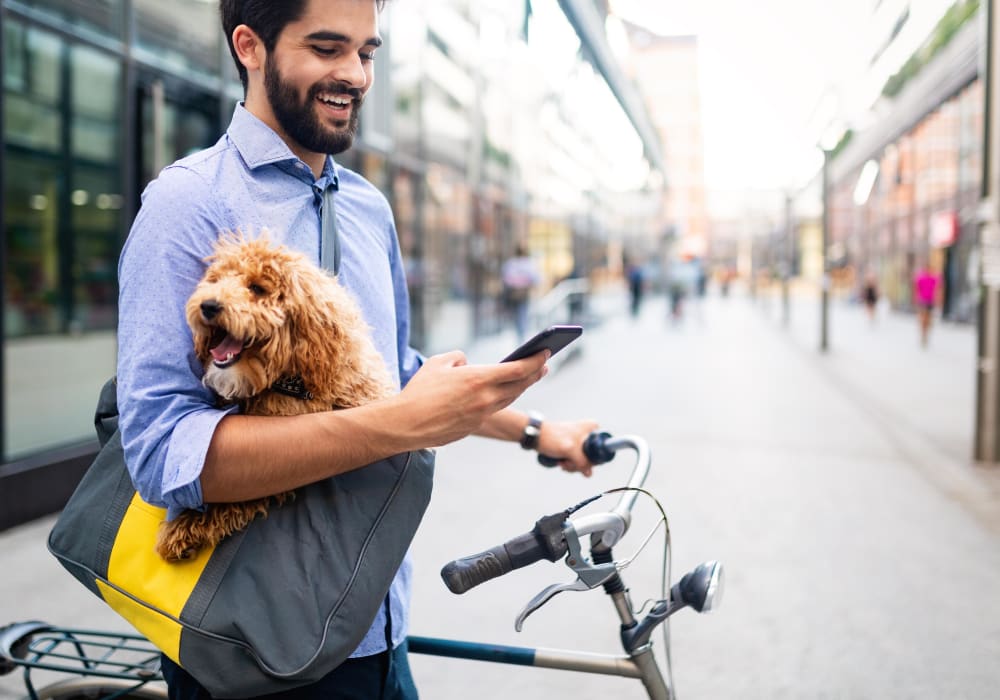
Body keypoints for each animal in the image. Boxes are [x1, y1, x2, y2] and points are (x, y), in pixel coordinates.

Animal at [154, 235, 392, 564]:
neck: (292, 380)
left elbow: (240, 495)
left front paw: (183, 528)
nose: (208, 305)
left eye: (257, 288)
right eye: (216, 280)